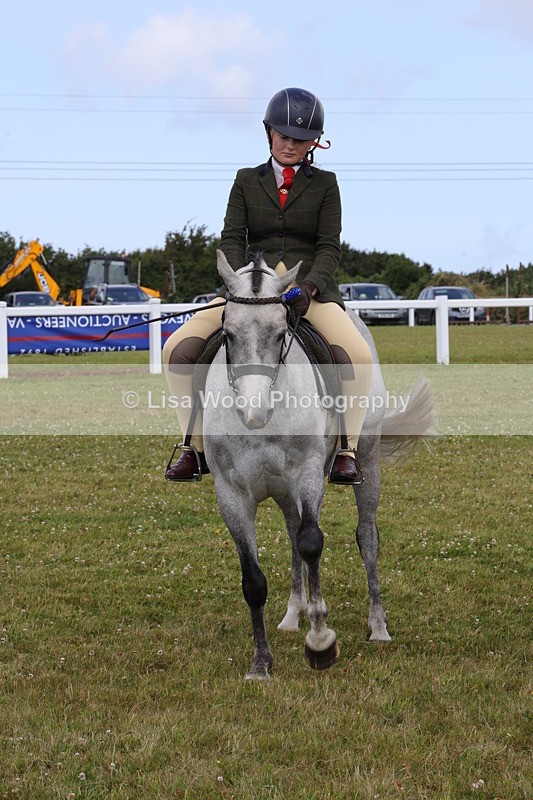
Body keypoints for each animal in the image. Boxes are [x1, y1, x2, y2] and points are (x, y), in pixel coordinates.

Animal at [200, 250, 436, 680]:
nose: (254, 412)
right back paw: (294, 616)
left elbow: (313, 542)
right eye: (228, 334)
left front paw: (321, 640)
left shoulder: (307, 473)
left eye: (281, 334)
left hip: (366, 462)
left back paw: (377, 626)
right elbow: (254, 579)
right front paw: (261, 663)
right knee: (294, 536)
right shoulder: (231, 492)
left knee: (365, 537)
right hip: (282, 491)